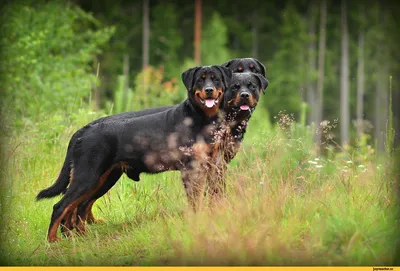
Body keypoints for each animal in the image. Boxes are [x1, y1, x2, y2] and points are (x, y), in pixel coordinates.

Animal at [38, 65, 231, 242]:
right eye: (200, 79)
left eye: (215, 79)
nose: (209, 90)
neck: (201, 118)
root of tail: (83, 131)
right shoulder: (190, 169)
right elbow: (195, 200)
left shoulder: (210, 165)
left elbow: (211, 195)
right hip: (87, 176)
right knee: (61, 206)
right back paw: (53, 240)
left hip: (103, 178)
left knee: (79, 206)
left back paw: (80, 235)